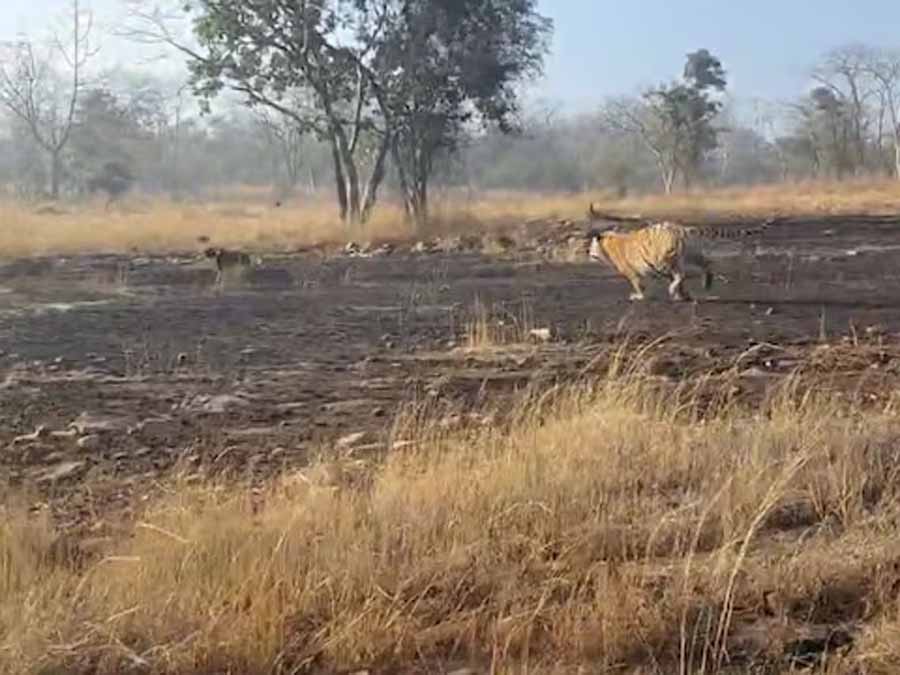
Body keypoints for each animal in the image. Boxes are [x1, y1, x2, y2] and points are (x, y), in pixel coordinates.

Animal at [588, 202, 776, 302]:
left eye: (591, 247)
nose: (589, 254)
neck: (608, 241)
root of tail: (681, 228)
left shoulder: (630, 271)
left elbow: (638, 283)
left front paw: (638, 296)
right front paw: (683, 295)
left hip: (663, 260)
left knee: (681, 274)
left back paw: (674, 290)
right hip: (688, 255)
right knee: (706, 264)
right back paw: (706, 284)